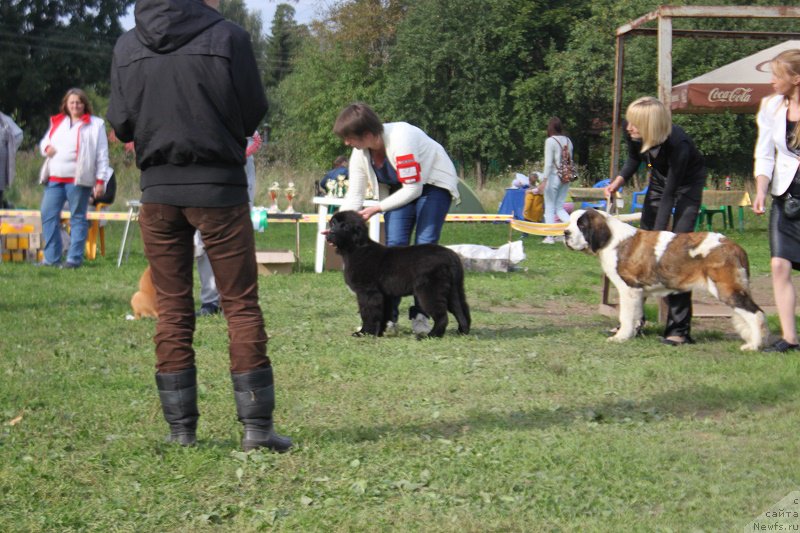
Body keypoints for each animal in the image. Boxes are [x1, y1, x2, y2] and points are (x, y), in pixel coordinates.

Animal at [324, 209, 468, 336]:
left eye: (345, 226)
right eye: (333, 224)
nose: (330, 234)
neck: (356, 249)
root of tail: (450, 255)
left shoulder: (368, 292)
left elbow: (368, 313)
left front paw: (364, 333)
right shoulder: (384, 294)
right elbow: (383, 313)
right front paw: (378, 333)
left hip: (430, 290)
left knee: (442, 315)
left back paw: (431, 335)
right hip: (454, 289)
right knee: (461, 309)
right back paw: (463, 331)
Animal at [564, 207, 764, 350]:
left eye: (582, 225)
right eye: (571, 222)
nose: (565, 233)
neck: (612, 239)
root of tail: (734, 246)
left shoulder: (629, 288)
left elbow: (626, 315)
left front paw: (620, 337)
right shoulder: (638, 291)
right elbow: (636, 315)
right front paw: (633, 333)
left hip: (726, 288)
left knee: (756, 313)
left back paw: (754, 345)